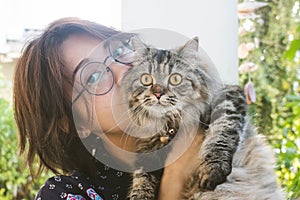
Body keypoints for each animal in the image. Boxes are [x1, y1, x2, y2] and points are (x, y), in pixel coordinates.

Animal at [118, 36, 282, 199]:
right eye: (146, 79)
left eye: (175, 79)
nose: (158, 94)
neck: (170, 122)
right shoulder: (147, 147)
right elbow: (141, 177)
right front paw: (139, 194)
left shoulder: (229, 97)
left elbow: (221, 133)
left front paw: (212, 169)